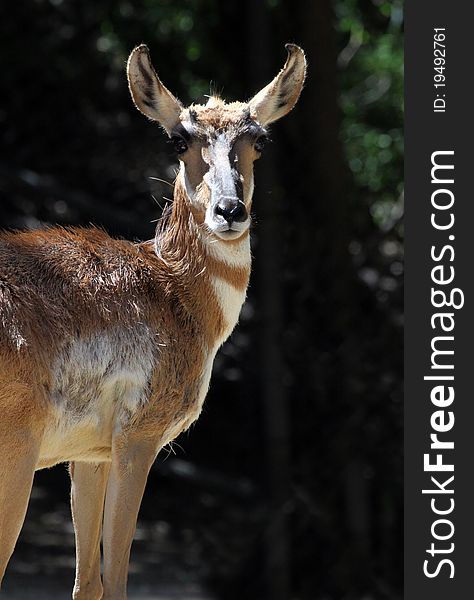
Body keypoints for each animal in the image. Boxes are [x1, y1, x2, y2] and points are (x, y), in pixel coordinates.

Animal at [0, 44, 306, 596]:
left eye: (259, 140)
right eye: (180, 138)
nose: (230, 210)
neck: (170, 287)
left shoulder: (89, 454)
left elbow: (87, 583)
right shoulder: (138, 438)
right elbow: (117, 579)